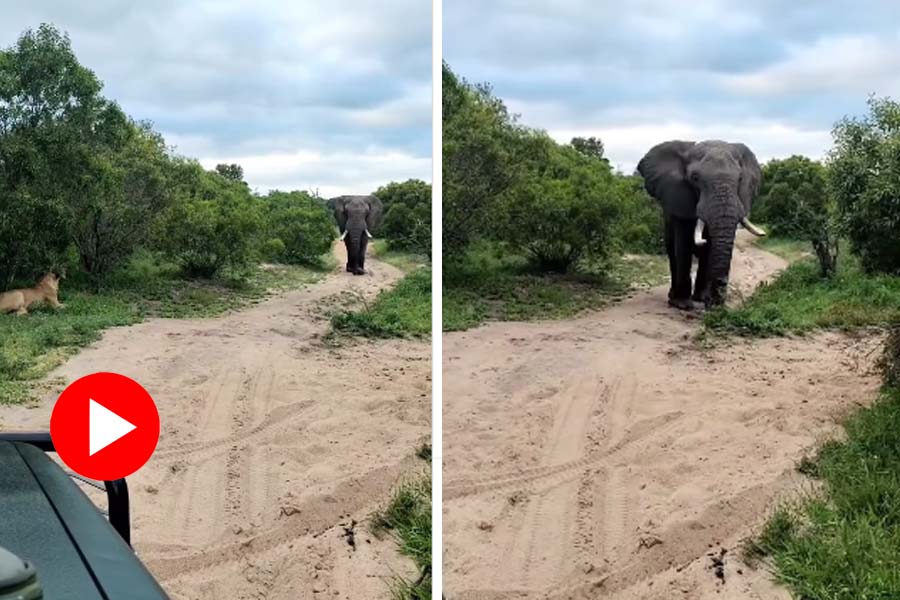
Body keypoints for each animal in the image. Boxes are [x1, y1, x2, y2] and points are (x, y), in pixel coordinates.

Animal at [637, 140, 766, 309]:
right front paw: (682, 304)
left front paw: (704, 299)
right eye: (695, 178)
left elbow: (709, 248)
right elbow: (683, 245)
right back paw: (673, 298)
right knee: (672, 252)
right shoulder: (681, 201)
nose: (721, 283)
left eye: (739, 179)